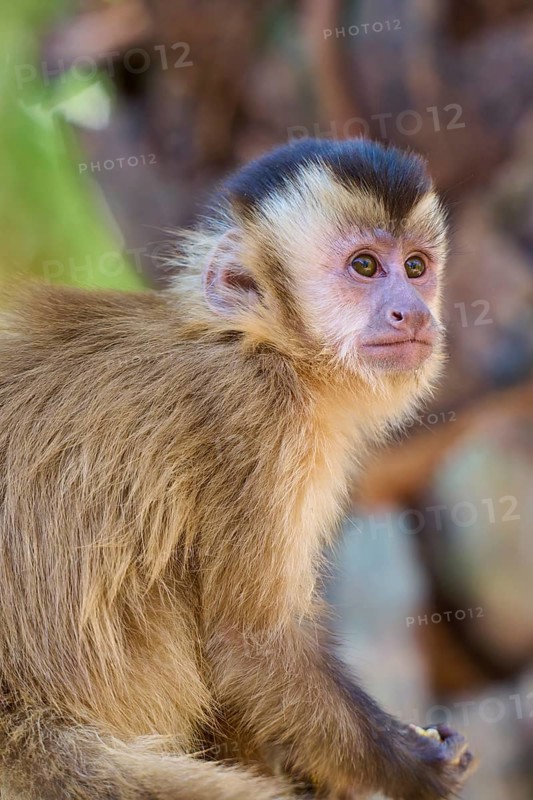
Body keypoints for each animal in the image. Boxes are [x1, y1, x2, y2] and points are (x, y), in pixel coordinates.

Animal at [0, 137, 475, 800]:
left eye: (414, 267)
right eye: (364, 267)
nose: (412, 312)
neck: (255, 340)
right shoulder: (260, 417)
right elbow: (250, 649)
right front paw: (415, 765)